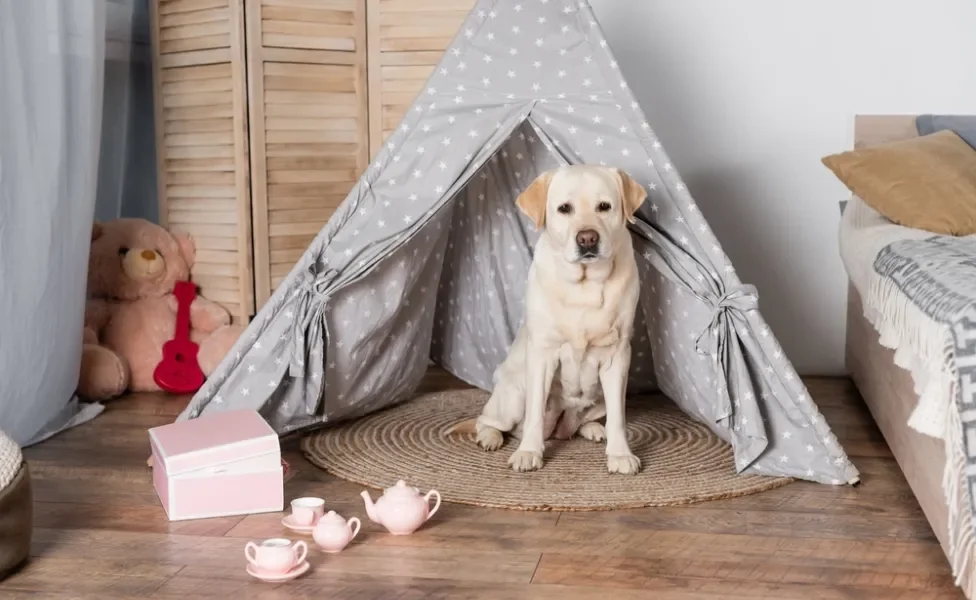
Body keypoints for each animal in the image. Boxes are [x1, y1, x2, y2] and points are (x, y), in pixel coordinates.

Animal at [474, 163, 648, 474]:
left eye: (604, 206)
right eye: (564, 208)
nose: (587, 238)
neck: (584, 284)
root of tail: (559, 428)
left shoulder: (617, 357)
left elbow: (619, 417)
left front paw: (620, 454)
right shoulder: (543, 354)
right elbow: (533, 414)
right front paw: (528, 452)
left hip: (600, 397)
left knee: (587, 421)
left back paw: (593, 429)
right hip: (514, 392)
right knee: (489, 421)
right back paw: (490, 437)